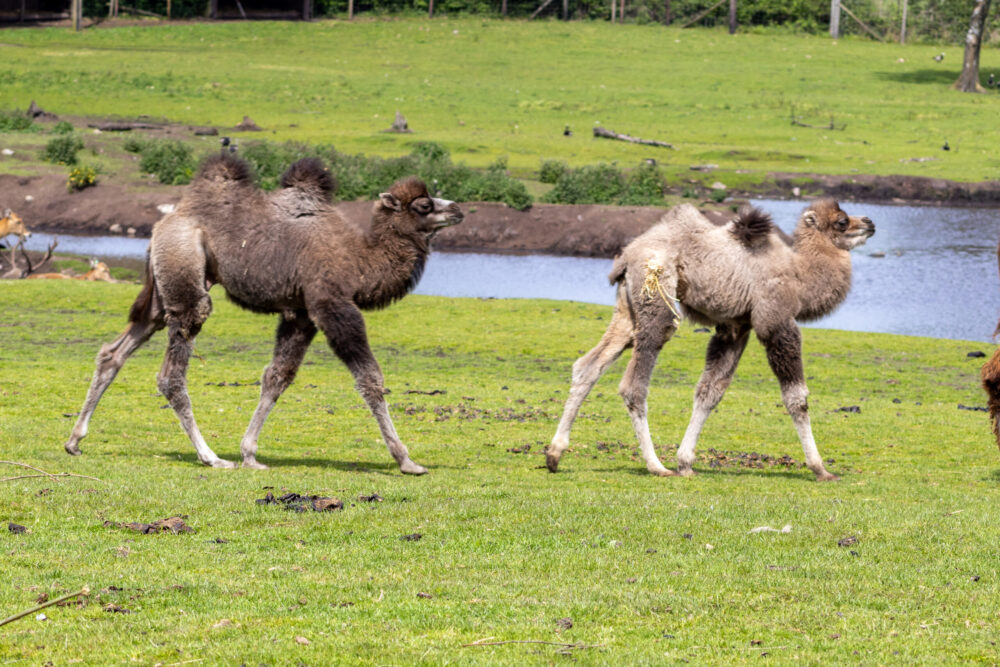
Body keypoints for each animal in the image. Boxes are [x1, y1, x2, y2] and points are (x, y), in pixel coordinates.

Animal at [63, 153, 463, 473]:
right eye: (423, 205)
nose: (458, 209)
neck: (360, 259)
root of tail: (163, 224)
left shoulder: (300, 313)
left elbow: (277, 376)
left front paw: (250, 454)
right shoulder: (332, 304)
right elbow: (370, 378)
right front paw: (406, 460)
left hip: (164, 291)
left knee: (115, 350)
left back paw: (74, 440)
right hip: (186, 274)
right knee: (171, 372)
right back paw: (210, 456)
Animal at [547, 199, 874, 481]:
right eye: (842, 221)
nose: (870, 222)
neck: (799, 277)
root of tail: (625, 258)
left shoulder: (736, 326)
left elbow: (709, 393)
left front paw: (685, 462)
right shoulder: (776, 321)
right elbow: (797, 398)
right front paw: (821, 469)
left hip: (627, 309)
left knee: (589, 365)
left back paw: (554, 454)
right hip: (657, 296)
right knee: (634, 384)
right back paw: (656, 466)